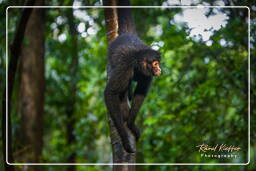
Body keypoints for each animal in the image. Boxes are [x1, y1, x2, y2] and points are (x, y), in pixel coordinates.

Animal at [103, 0, 160, 152]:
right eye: (155, 63)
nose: (159, 68)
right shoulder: (125, 68)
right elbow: (110, 93)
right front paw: (124, 138)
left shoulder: (148, 76)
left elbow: (140, 93)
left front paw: (130, 124)